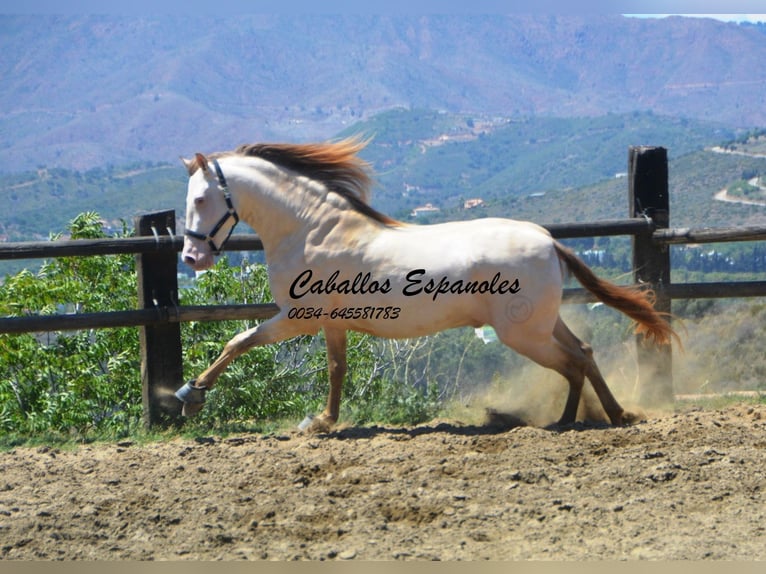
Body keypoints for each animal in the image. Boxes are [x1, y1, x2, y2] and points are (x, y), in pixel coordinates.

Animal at [180, 138, 680, 432]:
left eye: (201, 199)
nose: (191, 257)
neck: (311, 230)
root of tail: (549, 241)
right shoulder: (331, 322)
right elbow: (336, 369)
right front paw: (324, 420)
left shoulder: (297, 318)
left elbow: (238, 341)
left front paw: (191, 396)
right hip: (542, 324)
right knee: (585, 353)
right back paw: (614, 414)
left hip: (523, 333)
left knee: (573, 362)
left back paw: (565, 422)